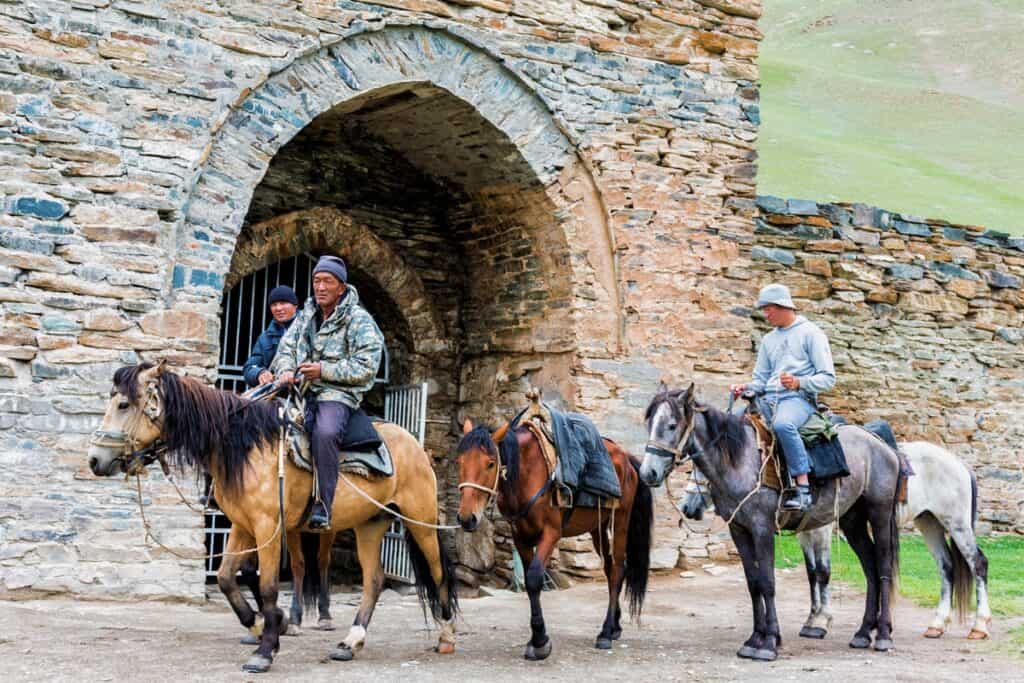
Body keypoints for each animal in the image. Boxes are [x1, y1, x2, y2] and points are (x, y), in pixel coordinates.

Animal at [88, 362, 456, 671]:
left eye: (123, 405)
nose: (94, 460)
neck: (246, 447)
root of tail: (414, 444)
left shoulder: (268, 527)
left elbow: (266, 587)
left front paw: (265, 650)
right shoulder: (241, 525)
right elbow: (226, 578)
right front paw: (261, 623)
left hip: (420, 519)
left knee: (437, 571)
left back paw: (447, 635)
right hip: (370, 525)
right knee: (375, 580)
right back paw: (350, 643)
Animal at [458, 419, 655, 659]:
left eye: (490, 463)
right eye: (459, 461)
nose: (466, 518)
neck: (527, 473)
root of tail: (627, 459)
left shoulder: (551, 533)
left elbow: (534, 577)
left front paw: (540, 641)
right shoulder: (520, 537)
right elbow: (530, 583)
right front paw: (536, 640)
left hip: (620, 521)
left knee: (617, 569)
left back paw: (606, 632)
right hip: (598, 527)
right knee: (610, 569)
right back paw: (615, 626)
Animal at [643, 382, 901, 659]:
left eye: (671, 425)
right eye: (650, 424)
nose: (648, 473)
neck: (741, 462)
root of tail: (879, 443)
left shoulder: (762, 528)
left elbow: (768, 582)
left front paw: (769, 643)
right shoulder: (739, 530)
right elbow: (753, 583)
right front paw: (755, 639)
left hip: (879, 515)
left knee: (883, 568)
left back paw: (883, 635)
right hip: (852, 520)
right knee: (870, 567)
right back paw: (863, 633)